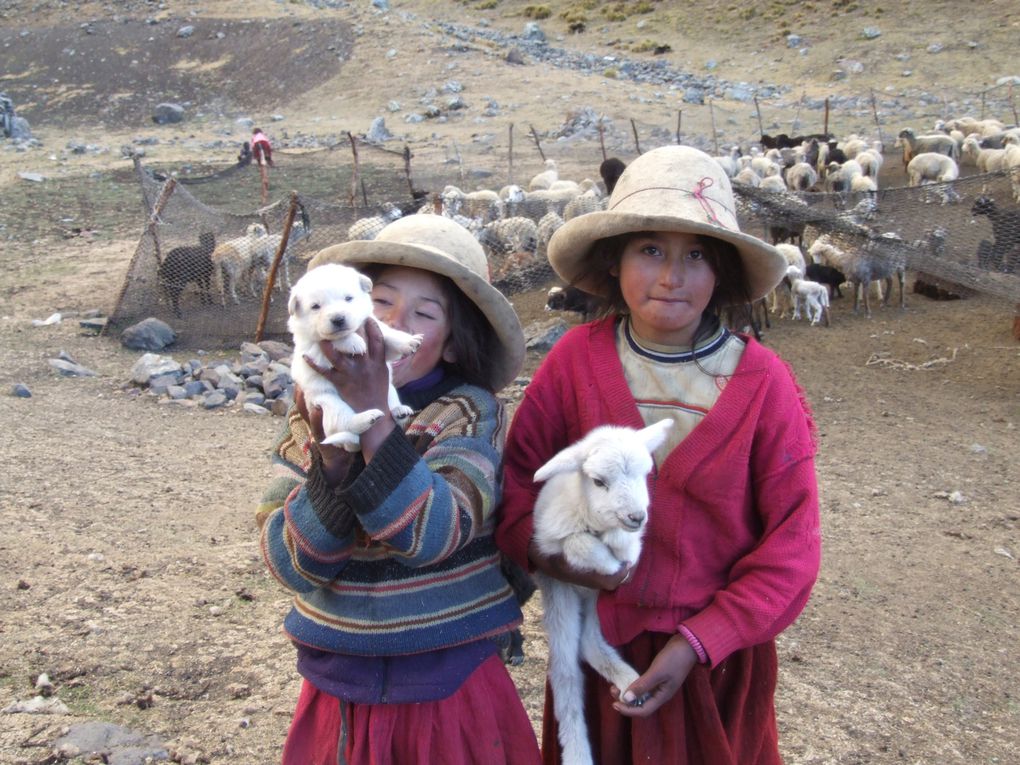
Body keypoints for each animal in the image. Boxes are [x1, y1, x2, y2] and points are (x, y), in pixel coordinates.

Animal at [289, 265, 424, 448]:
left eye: (348, 298)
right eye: (315, 306)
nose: (338, 319)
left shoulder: (372, 327)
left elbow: (386, 333)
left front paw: (409, 342)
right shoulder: (310, 349)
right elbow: (331, 340)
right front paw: (353, 342)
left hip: (389, 389)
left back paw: (399, 411)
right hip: (328, 404)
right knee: (345, 423)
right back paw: (367, 418)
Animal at [530, 420, 673, 765]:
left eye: (644, 473)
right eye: (598, 482)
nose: (637, 516)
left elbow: (627, 547)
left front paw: (620, 549)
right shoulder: (548, 548)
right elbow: (576, 543)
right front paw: (607, 562)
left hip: (597, 601)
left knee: (589, 643)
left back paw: (631, 684)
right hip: (561, 596)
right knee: (566, 670)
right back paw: (577, 752)